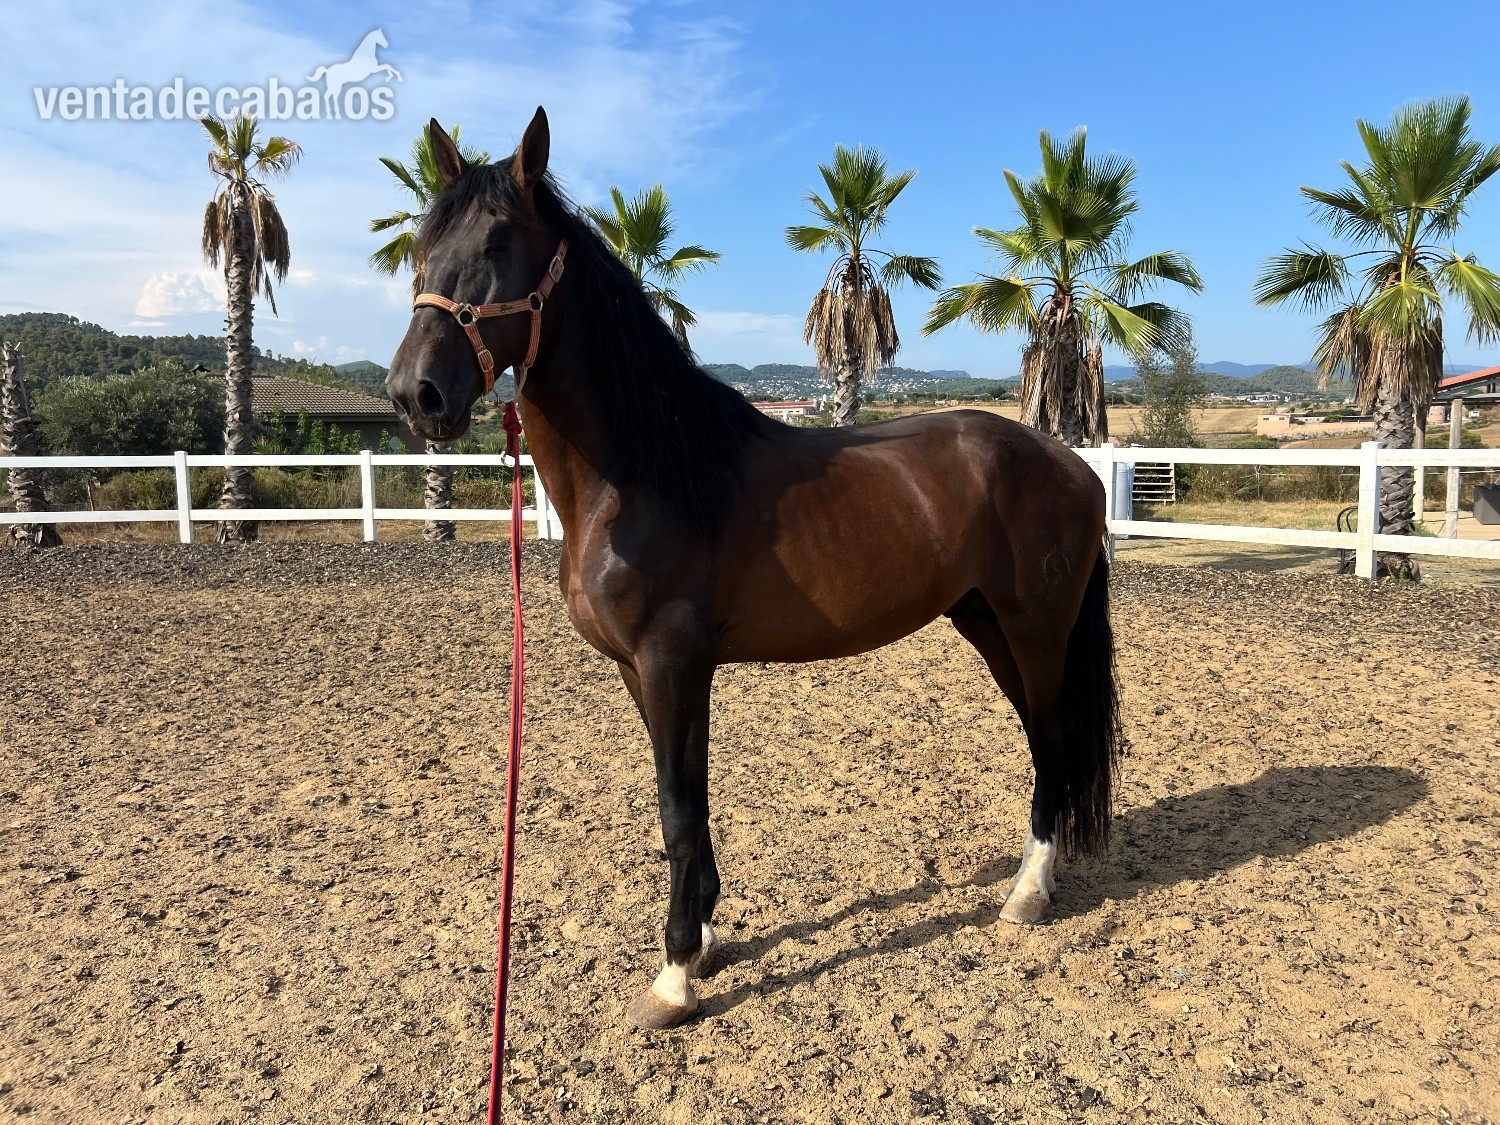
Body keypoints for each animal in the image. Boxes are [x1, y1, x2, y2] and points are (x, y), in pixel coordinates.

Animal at [386, 108, 1120, 1030]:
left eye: (497, 241)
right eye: (420, 243)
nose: (416, 394)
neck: (643, 474)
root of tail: (1073, 463)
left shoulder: (671, 662)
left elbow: (675, 810)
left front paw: (672, 978)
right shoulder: (650, 671)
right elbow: (691, 804)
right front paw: (703, 939)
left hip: (1035, 630)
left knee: (1053, 739)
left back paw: (1025, 893)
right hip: (987, 624)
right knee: (1042, 737)